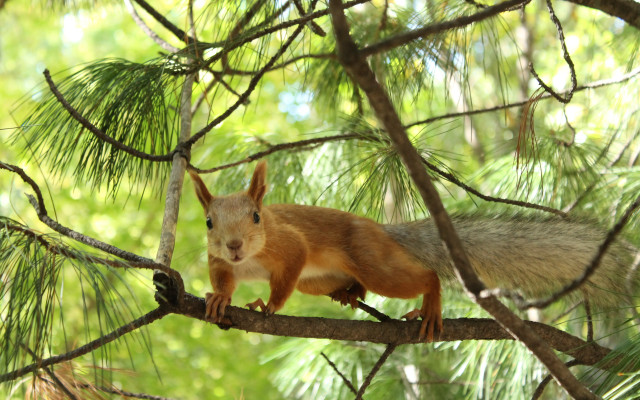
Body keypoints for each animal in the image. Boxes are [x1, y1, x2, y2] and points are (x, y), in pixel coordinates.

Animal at [188, 161, 637, 342]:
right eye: (208, 222)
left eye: (256, 216)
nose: (234, 244)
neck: (249, 260)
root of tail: (382, 231)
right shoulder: (218, 260)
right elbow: (223, 279)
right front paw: (219, 299)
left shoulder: (290, 244)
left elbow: (287, 273)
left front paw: (267, 305)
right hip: (319, 281)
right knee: (351, 285)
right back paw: (348, 294)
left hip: (371, 260)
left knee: (424, 276)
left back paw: (431, 304)